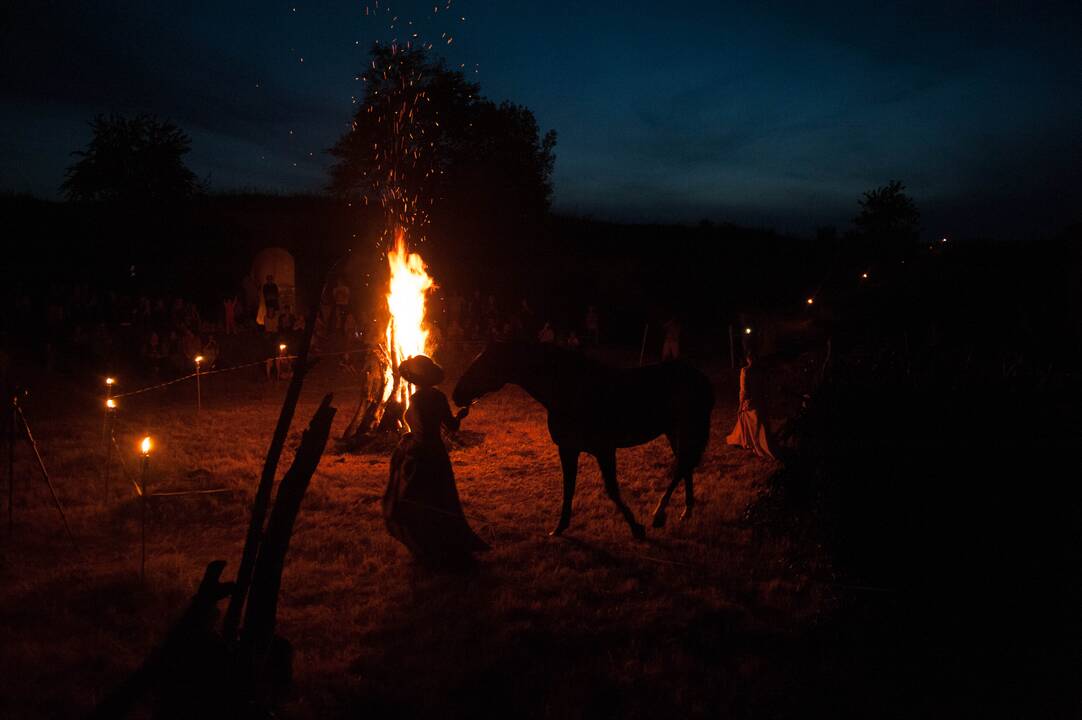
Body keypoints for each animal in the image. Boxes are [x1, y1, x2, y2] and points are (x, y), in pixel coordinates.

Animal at [452, 342, 714, 539]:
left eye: (485, 362)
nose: (456, 394)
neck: (570, 391)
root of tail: (700, 378)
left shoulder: (604, 450)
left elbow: (612, 490)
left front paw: (636, 528)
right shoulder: (568, 449)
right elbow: (568, 488)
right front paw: (559, 528)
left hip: (687, 429)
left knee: (682, 467)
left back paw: (659, 515)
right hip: (674, 432)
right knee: (686, 467)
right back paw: (685, 512)